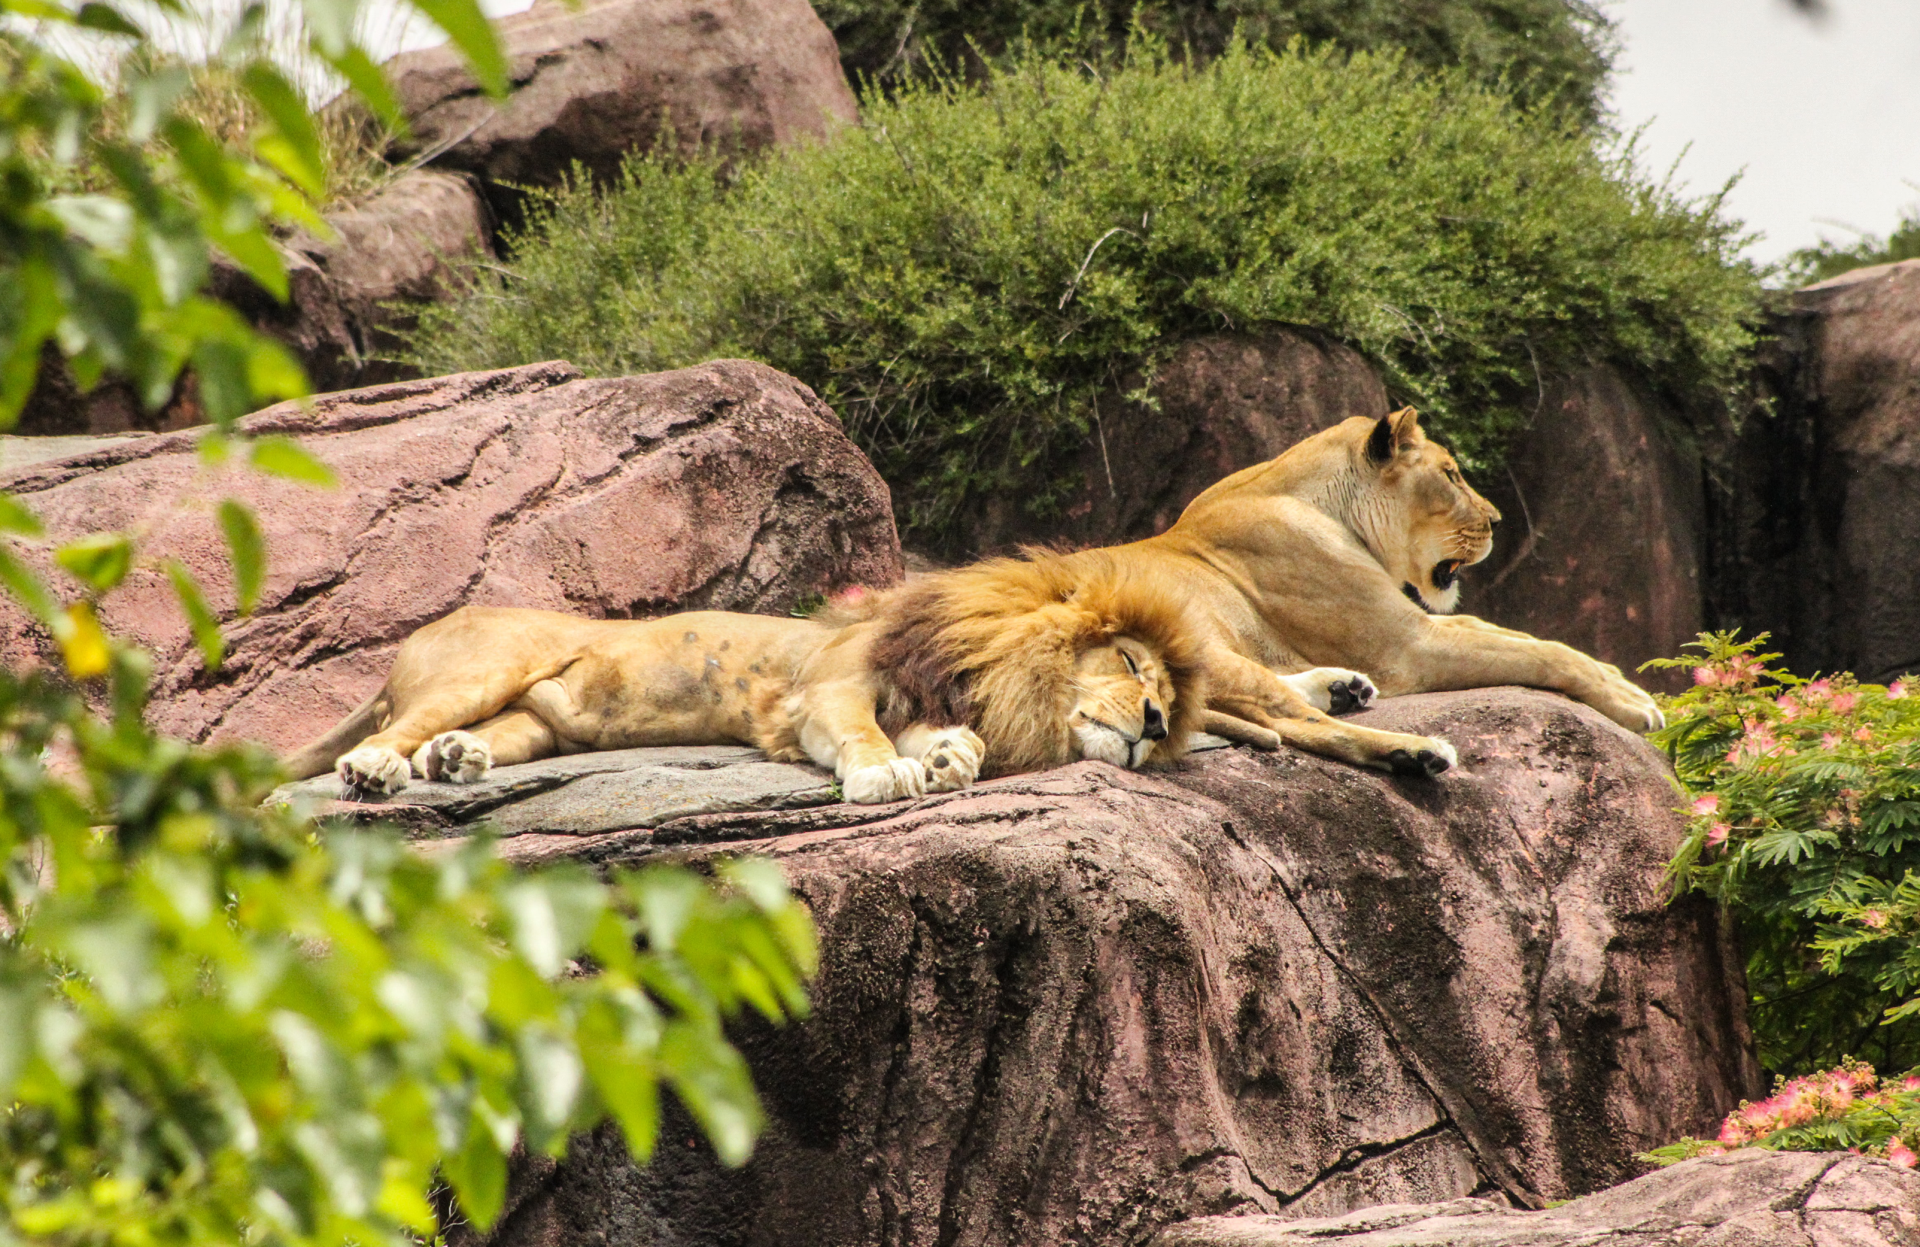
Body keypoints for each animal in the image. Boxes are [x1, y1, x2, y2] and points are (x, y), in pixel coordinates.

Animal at [1044, 403, 1658, 768]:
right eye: (1451, 474)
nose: (1498, 520)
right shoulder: (1407, 646)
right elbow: (1547, 654)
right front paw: (1634, 704)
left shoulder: (1417, 622)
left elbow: (1520, 635)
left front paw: (1617, 677)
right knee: (1293, 724)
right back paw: (1414, 751)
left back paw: (1344, 688)